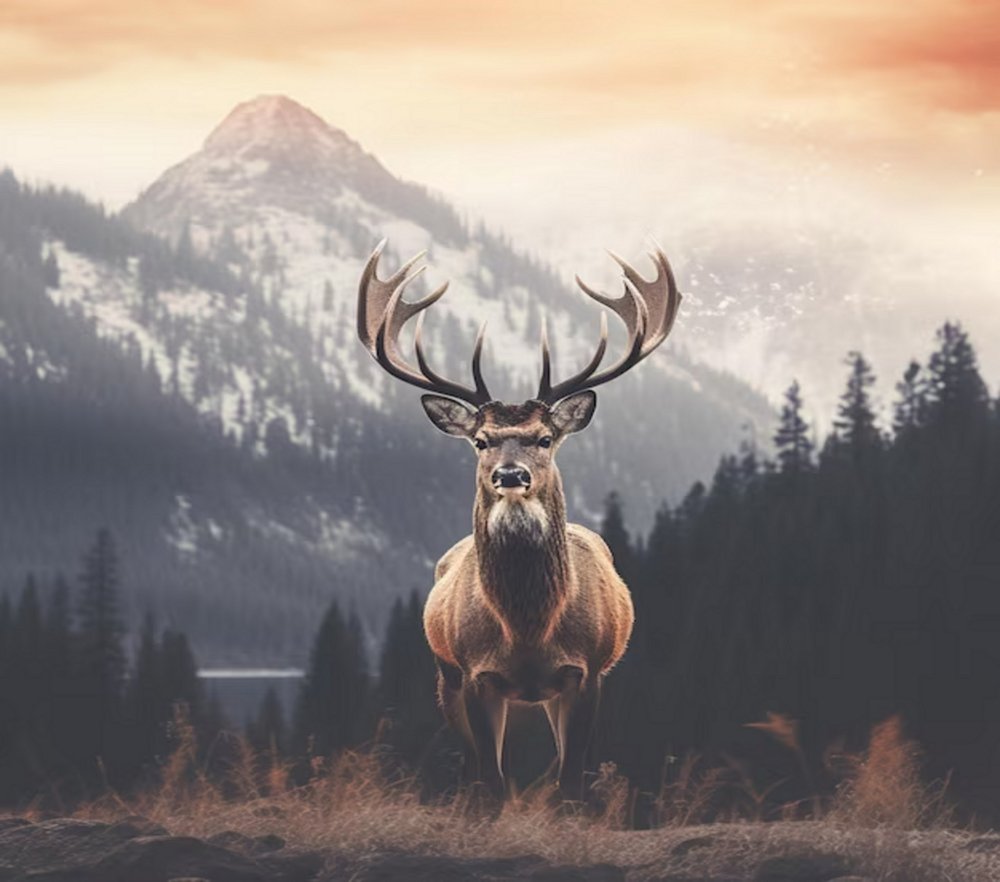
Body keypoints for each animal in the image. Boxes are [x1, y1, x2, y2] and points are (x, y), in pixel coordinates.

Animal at [356, 240, 682, 804]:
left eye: (545, 438)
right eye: (481, 440)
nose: (511, 475)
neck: (528, 630)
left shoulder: (588, 671)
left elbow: (570, 783)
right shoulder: (474, 673)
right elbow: (492, 782)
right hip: (445, 678)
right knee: (471, 768)